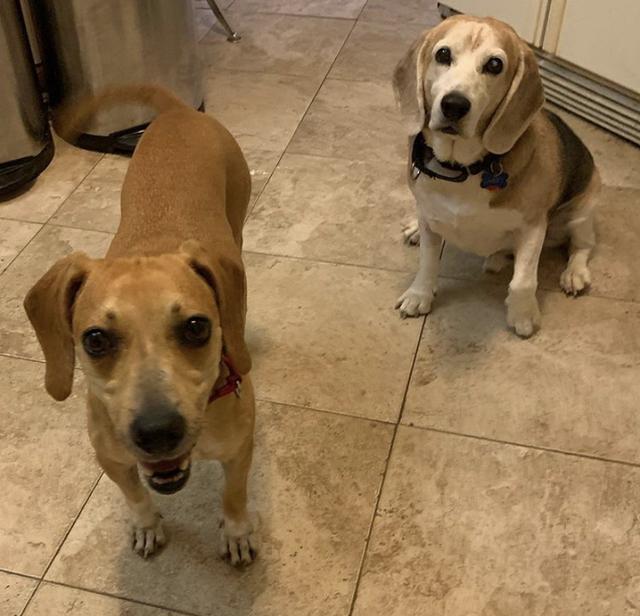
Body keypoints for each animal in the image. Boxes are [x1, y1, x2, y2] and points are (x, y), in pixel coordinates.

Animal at [23, 86, 258, 564]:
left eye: (196, 327)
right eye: (95, 339)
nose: (157, 432)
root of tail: (181, 110)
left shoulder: (240, 448)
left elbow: (234, 495)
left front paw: (236, 532)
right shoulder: (111, 457)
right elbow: (134, 494)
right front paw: (147, 525)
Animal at [392, 15, 596, 336]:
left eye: (495, 65)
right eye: (443, 54)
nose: (454, 105)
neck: (462, 169)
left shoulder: (533, 227)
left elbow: (524, 280)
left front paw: (523, 315)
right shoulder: (429, 216)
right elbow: (427, 261)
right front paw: (419, 294)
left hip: (582, 212)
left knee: (583, 246)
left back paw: (574, 273)